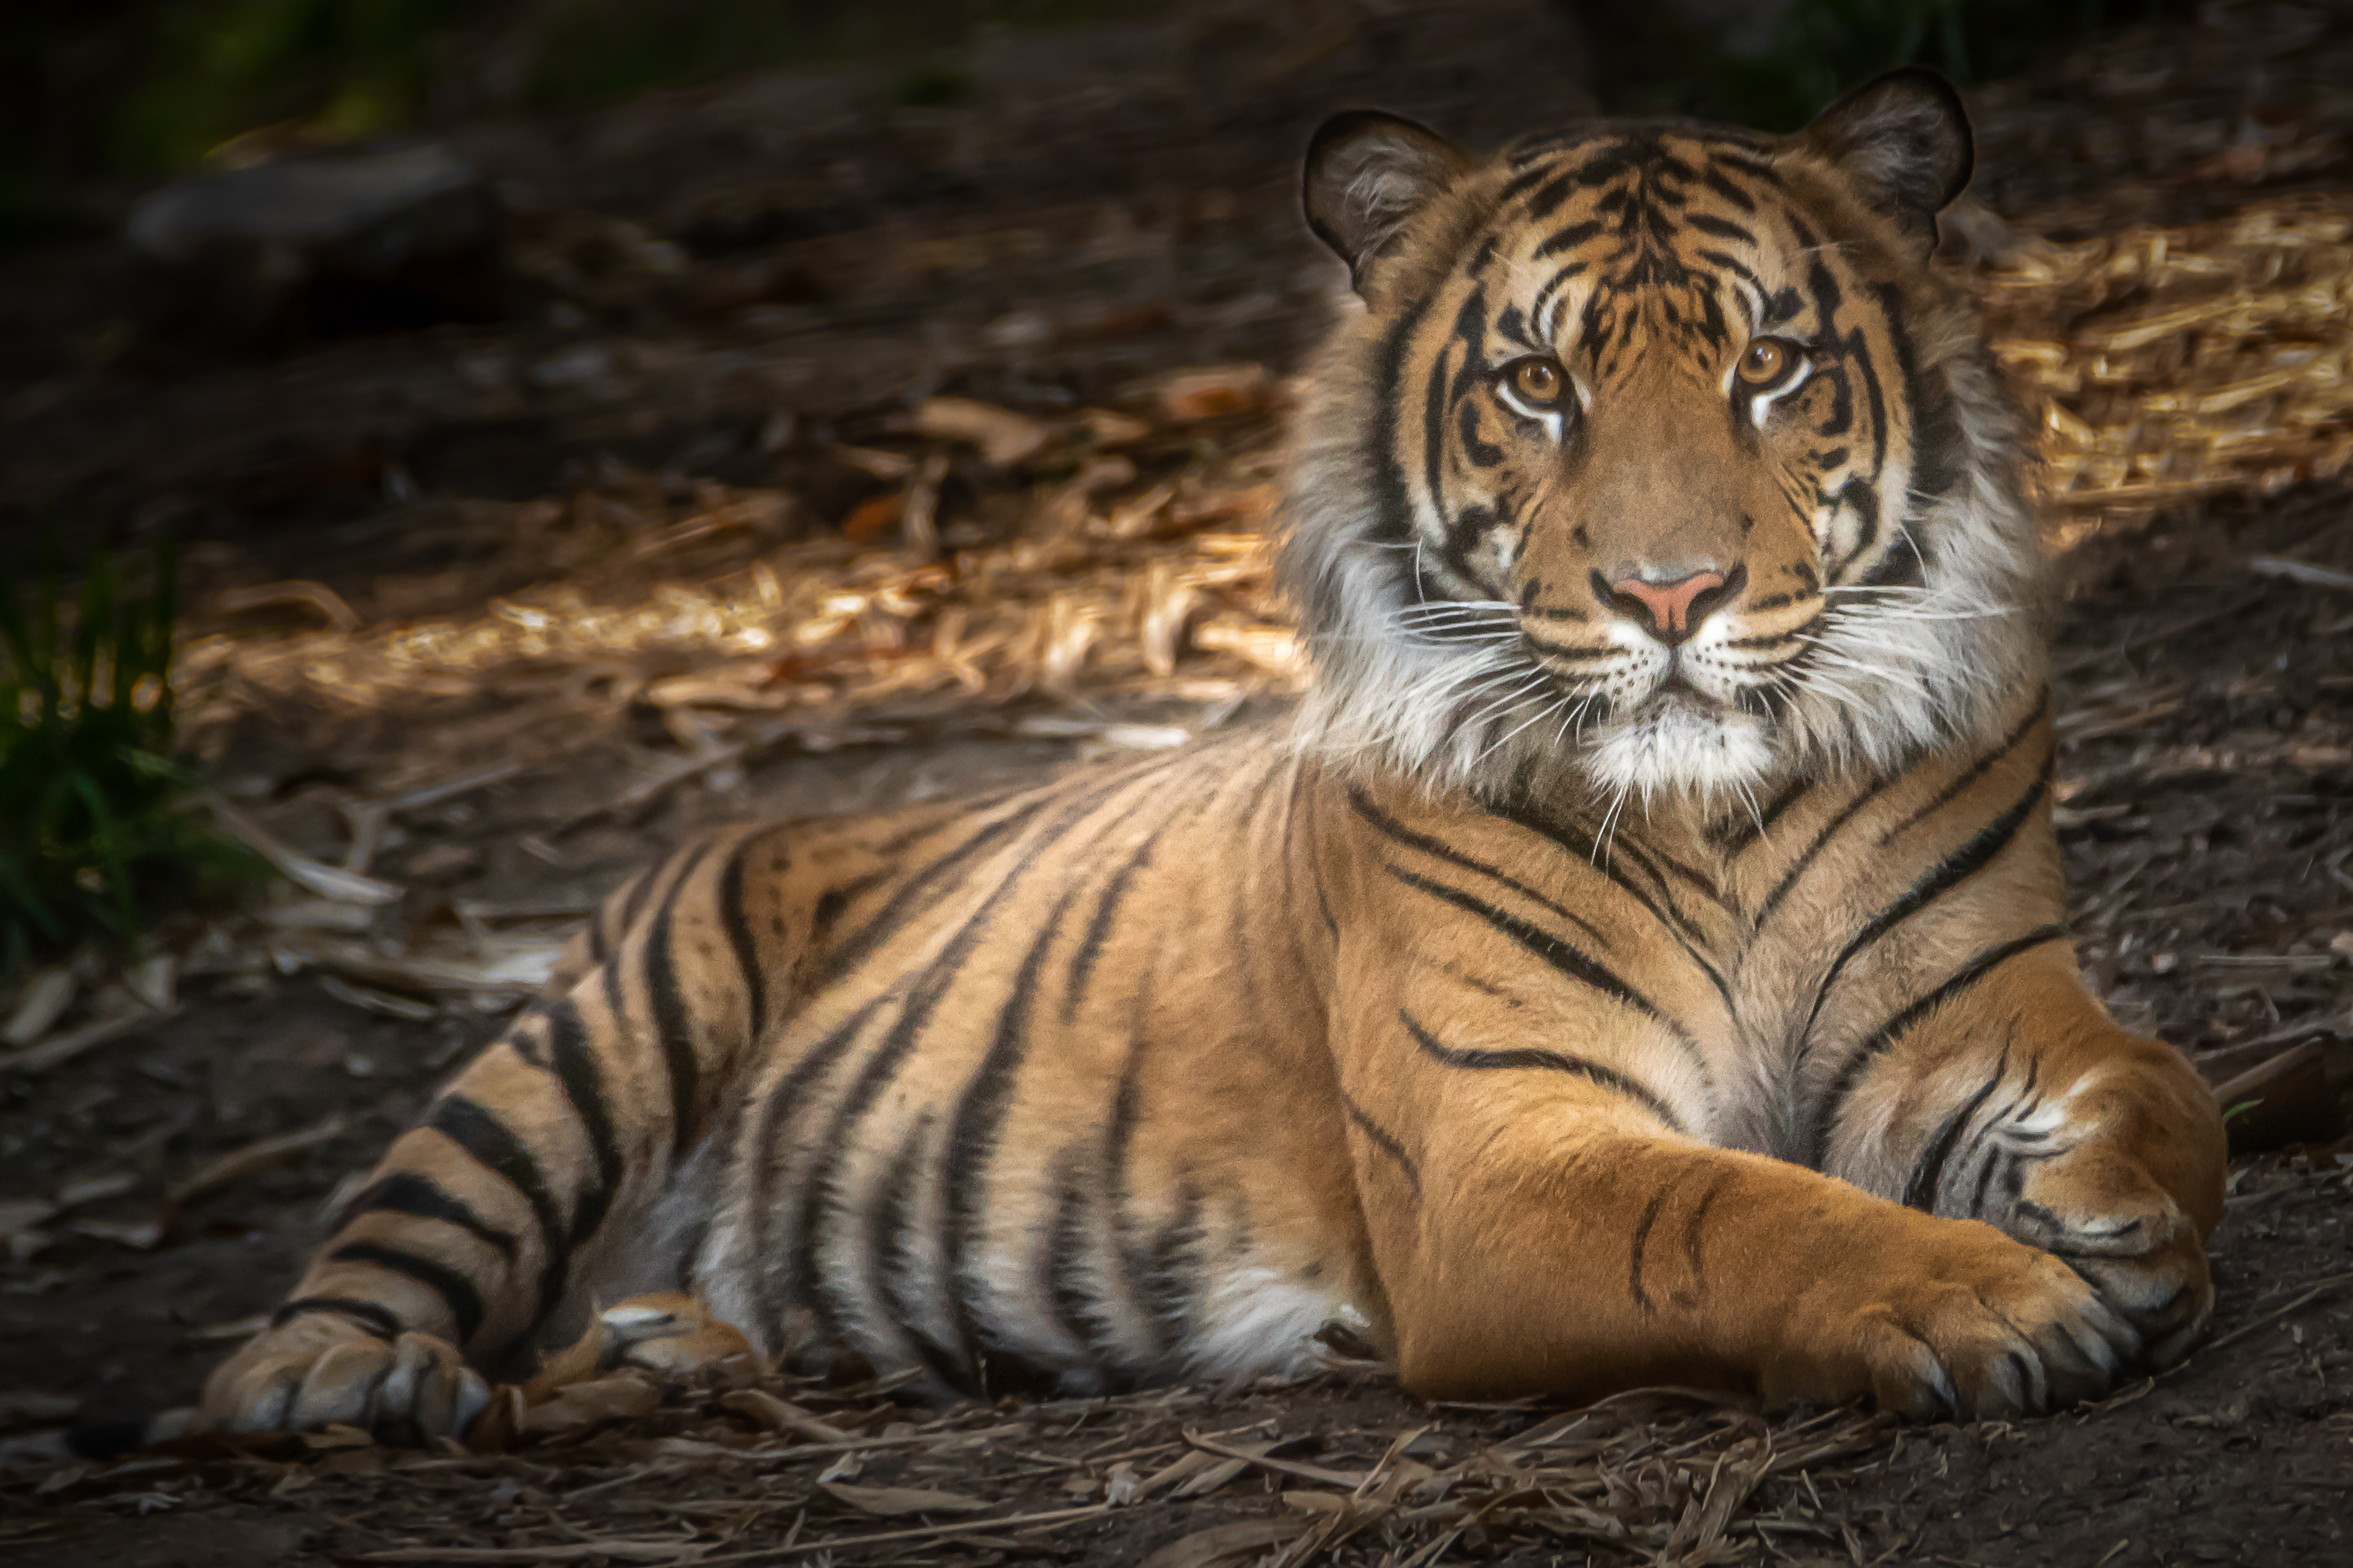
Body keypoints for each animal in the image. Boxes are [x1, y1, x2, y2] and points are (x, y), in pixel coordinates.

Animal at [188, 70, 2221, 1448]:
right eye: (1535, 384)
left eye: (1769, 369)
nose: (1668, 594)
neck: (1707, 802)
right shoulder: (1500, 1154)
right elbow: (1741, 1209)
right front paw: (1989, 1293)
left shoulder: (1970, 998)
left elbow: (2161, 1075)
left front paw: (2103, 1205)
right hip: (596, 1028)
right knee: (359, 1271)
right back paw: (348, 1376)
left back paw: (672, 1343)